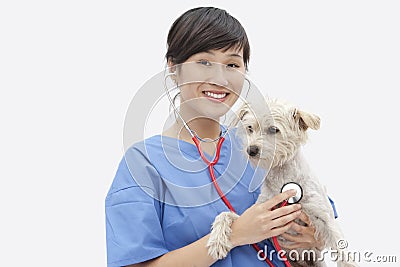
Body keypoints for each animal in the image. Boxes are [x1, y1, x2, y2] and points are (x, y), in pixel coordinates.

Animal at [206, 99, 356, 267]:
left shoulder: (323, 216)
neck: (283, 180)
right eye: (250, 128)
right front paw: (217, 240)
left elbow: (341, 248)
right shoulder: (258, 220)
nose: (251, 150)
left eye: (273, 129)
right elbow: (225, 215)